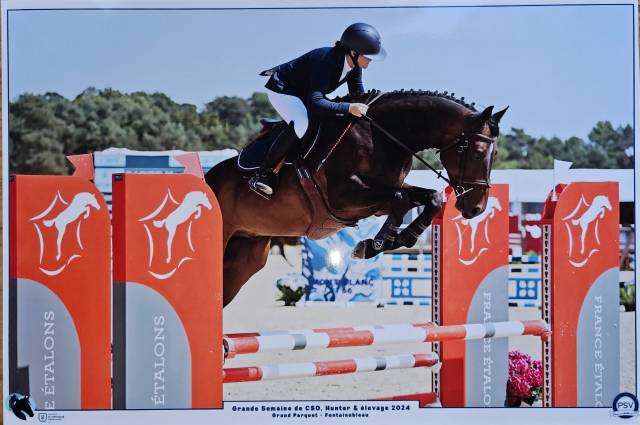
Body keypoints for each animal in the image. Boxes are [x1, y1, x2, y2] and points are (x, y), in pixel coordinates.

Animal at [205, 89, 507, 306]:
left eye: (494, 155)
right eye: (478, 153)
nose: (476, 208)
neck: (384, 137)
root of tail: (208, 178)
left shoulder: (377, 200)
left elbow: (429, 199)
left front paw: (400, 238)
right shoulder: (343, 199)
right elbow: (400, 199)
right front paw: (374, 244)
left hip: (247, 256)